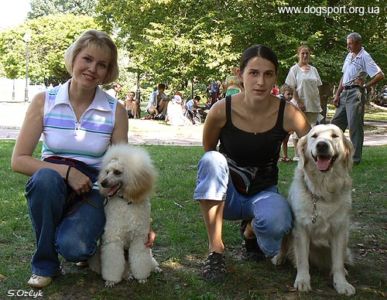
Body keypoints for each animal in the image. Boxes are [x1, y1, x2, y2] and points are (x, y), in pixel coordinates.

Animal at [89, 144, 161, 288]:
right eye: (107, 172)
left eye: (117, 172)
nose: (103, 183)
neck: (126, 203)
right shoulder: (113, 239)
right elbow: (113, 261)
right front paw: (111, 280)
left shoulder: (140, 239)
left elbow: (140, 260)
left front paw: (142, 278)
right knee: (125, 270)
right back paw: (127, 276)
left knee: (150, 261)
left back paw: (155, 268)